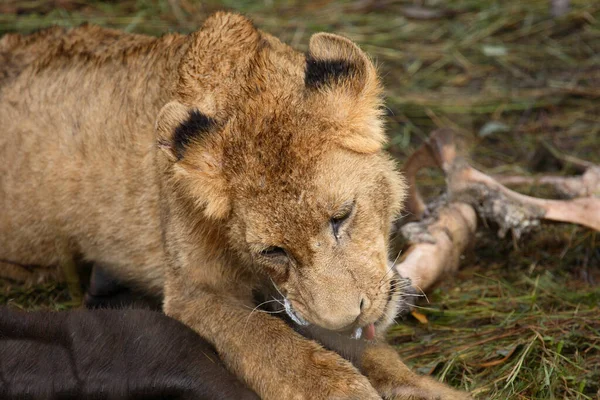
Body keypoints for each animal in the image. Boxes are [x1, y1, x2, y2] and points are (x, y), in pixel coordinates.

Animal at [0, 12, 468, 400]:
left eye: (342, 216)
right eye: (273, 251)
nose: (345, 321)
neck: (247, 88)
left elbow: (376, 355)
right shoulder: (192, 293)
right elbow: (275, 346)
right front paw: (341, 389)